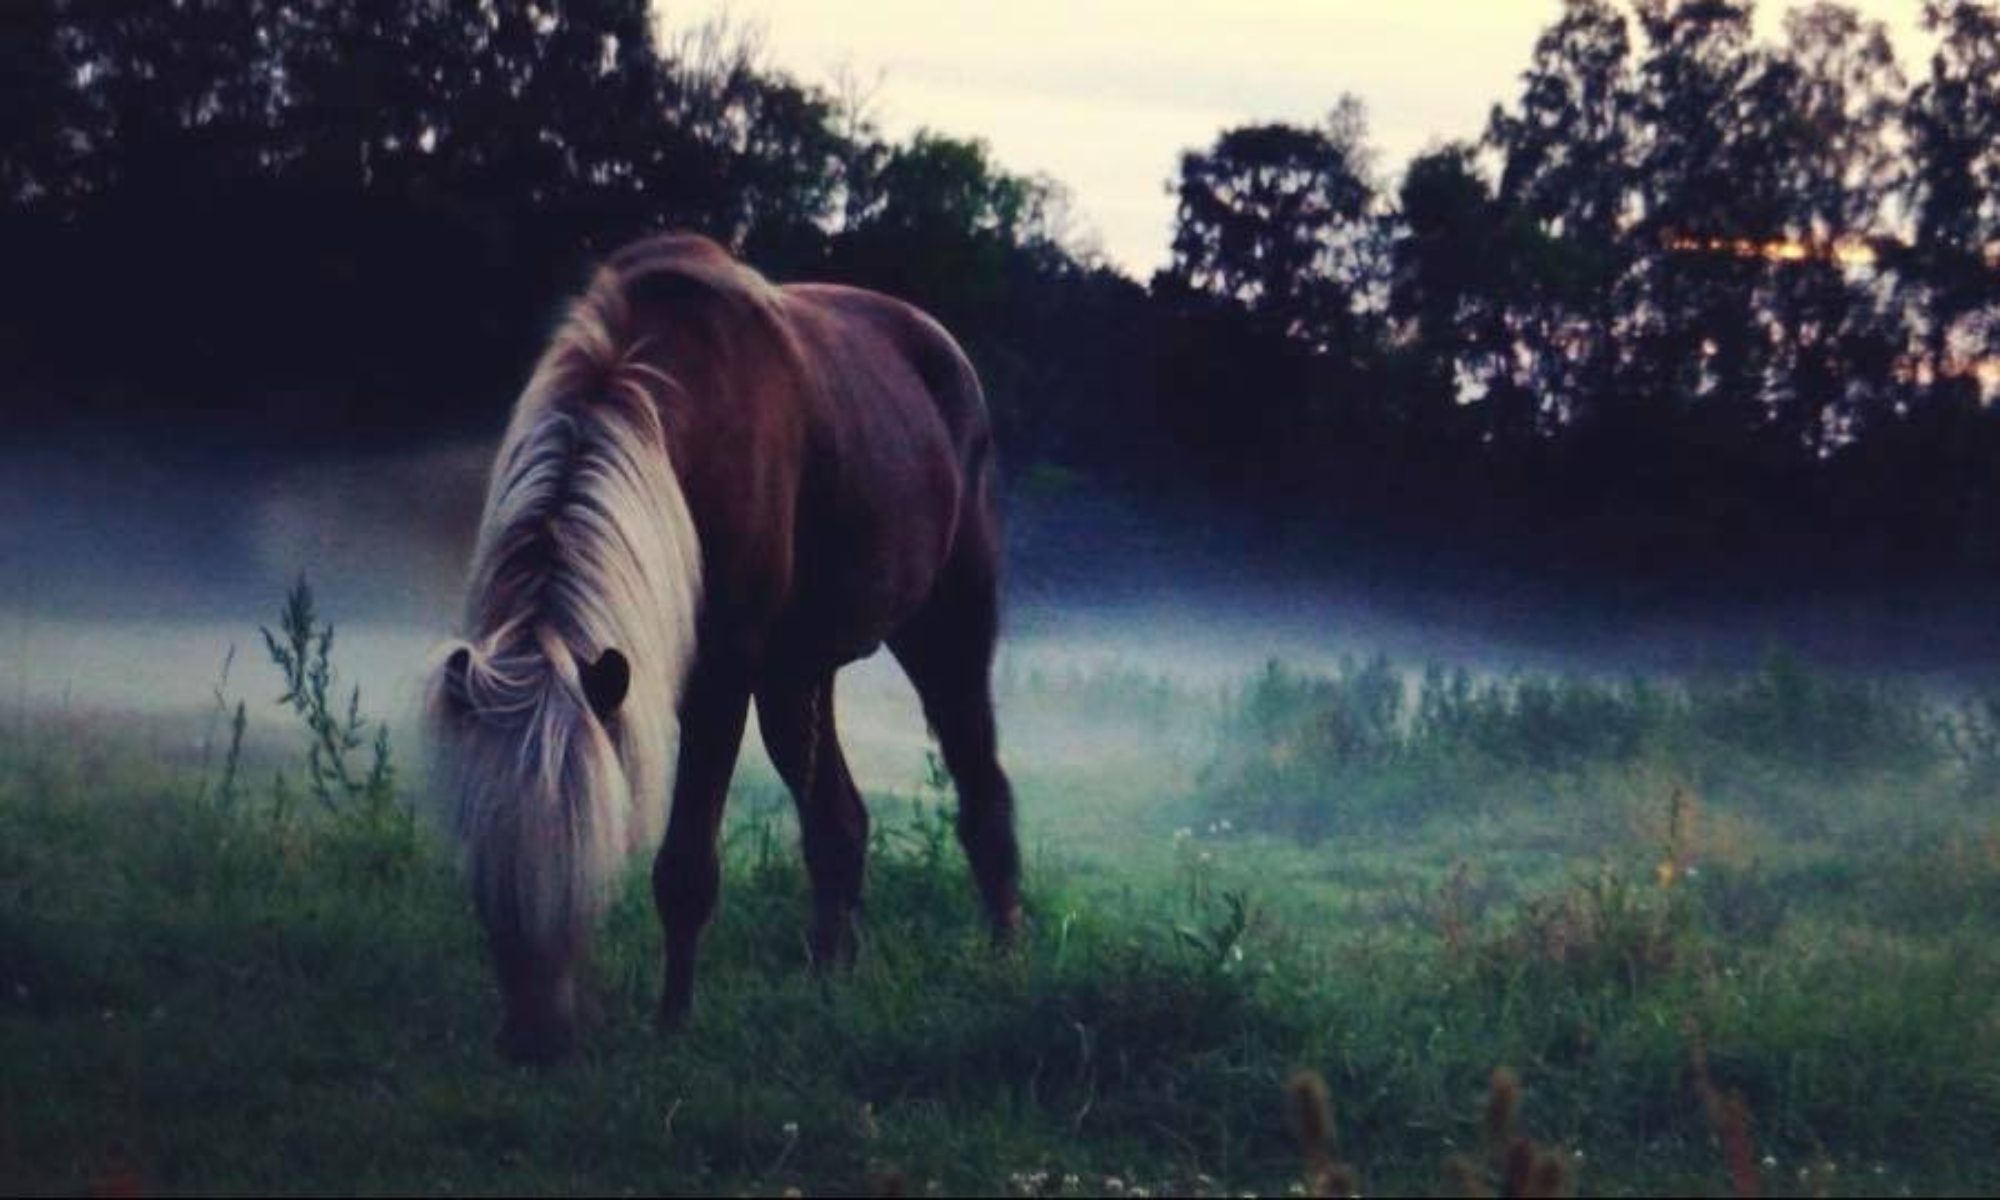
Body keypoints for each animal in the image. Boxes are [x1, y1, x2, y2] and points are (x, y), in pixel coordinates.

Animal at [430, 232, 1024, 1056]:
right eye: (486, 863)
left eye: (586, 858)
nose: (534, 1043)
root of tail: (944, 353)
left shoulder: (720, 680)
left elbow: (684, 870)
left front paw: (673, 1022)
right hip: (798, 674)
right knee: (838, 823)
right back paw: (829, 982)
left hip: (948, 629)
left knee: (982, 793)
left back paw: (1003, 964)